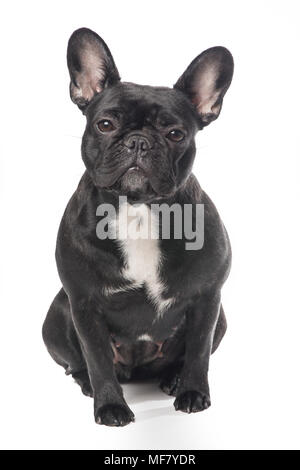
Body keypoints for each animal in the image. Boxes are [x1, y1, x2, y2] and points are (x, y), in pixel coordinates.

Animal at [42, 27, 234, 428]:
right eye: (105, 125)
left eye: (176, 134)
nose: (139, 141)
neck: (138, 208)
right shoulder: (83, 303)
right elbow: (97, 359)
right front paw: (110, 406)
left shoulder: (208, 297)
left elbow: (198, 352)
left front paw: (194, 393)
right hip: (58, 311)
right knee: (77, 364)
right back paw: (89, 385)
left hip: (221, 317)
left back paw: (174, 380)